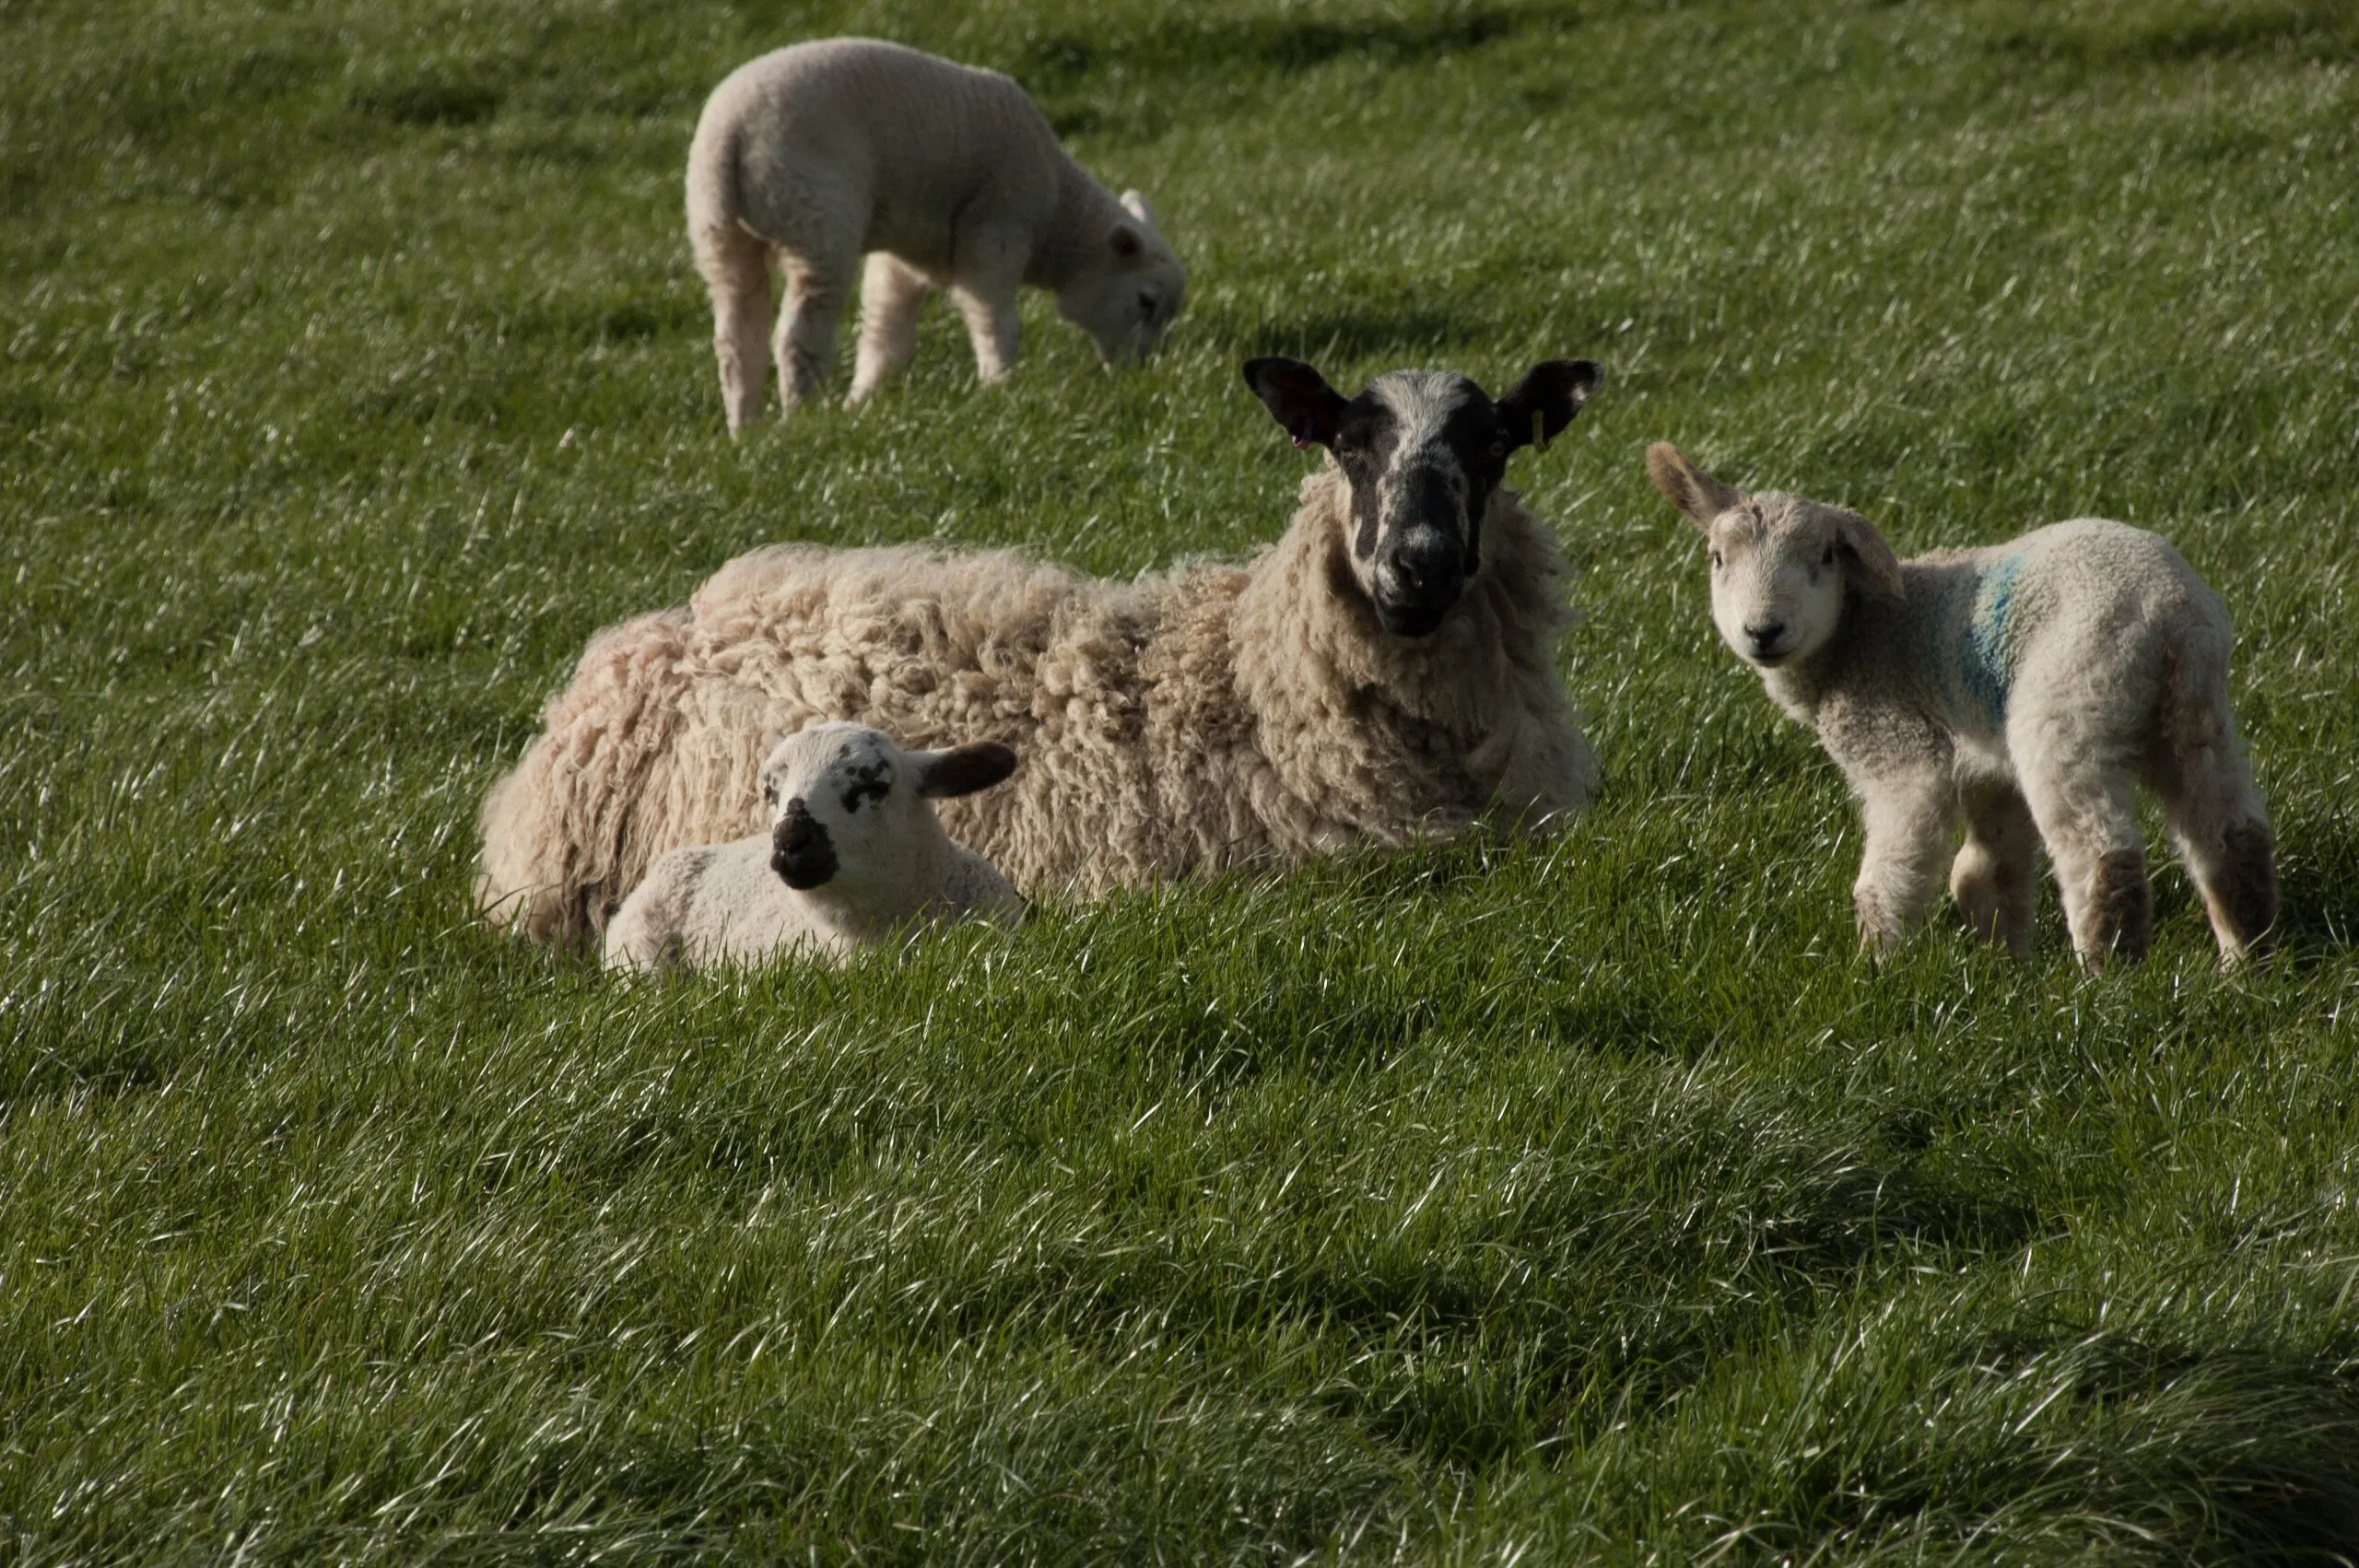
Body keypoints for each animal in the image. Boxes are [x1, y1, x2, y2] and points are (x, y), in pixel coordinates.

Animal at [686, 37, 1188, 436]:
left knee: (736, 336)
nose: (1146, 370)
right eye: (1147, 302)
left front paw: (862, 400)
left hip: (718, 232)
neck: (1057, 216)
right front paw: (1001, 387)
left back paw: (746, 428)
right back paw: (802, 417)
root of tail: (731, 134)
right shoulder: (996, 228)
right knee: (798, 334)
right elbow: (993, 318)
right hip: (816, 219)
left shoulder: (906, 258)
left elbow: (887, 332)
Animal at [1645, 443, 2277, 970]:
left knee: (2099, 847)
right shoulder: (1983, 760)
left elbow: (1894, 866)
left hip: (2070, 696)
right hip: (2190, 717)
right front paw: (2005, 962)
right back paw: (2244, 958)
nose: (1763, 631)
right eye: (1717, 558)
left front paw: (1876, 967)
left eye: (1825, 556)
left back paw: (2106, 974)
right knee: (2229, 832)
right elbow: (1987, 868)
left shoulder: (1897, 740)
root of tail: (2173, 612)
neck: (1856, 636)